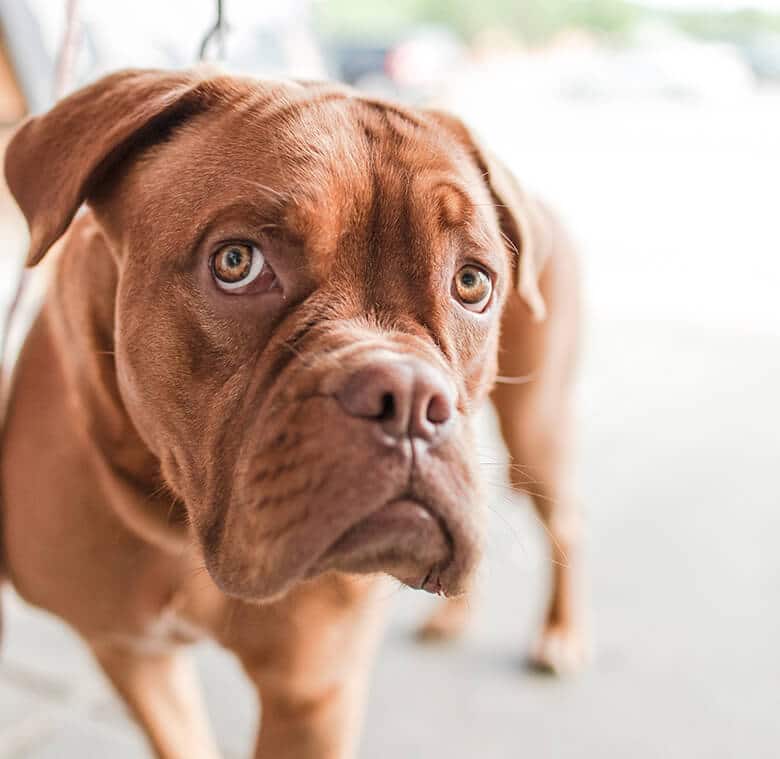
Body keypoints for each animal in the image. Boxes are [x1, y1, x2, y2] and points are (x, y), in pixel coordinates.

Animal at [0, 68, 584, 756]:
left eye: (472, 283)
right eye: (236, 262)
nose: (408, 397)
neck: (180, 526)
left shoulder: (310, 694)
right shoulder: (133, 653)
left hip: (535, 429)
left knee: (565, 521)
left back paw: (560, 636)